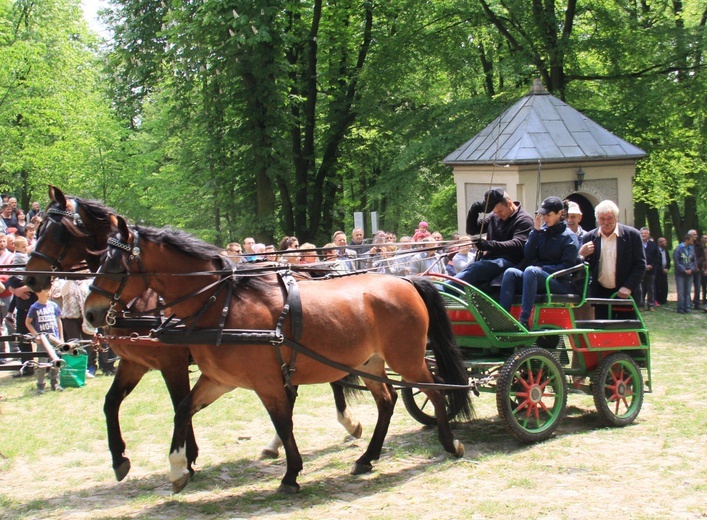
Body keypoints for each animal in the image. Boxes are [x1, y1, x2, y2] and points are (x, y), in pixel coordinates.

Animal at [24, 187, 362, 484]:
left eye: (56, 232)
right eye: (37, 230)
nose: (30, 278)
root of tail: (303, 270)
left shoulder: (171, 362)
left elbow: (179, 404)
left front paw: (187, 457)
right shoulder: (135, 362)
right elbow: (112, 403)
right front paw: (120, 459)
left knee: (326, 381)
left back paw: (347, 425)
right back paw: (281, 442)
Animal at [85, 217, 472, 494]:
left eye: (115, 264)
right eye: (97, 260)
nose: (90, 312)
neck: (221, 304)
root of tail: (405, 280)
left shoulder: (265, 381)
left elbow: (283, 422)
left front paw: (290, 474)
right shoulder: (219, 380)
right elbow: (183, 409)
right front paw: (178, 467)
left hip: (406, 359)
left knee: (436, 391)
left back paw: (449, 443)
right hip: (369, 362)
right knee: (388, 400)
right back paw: (367, 457)